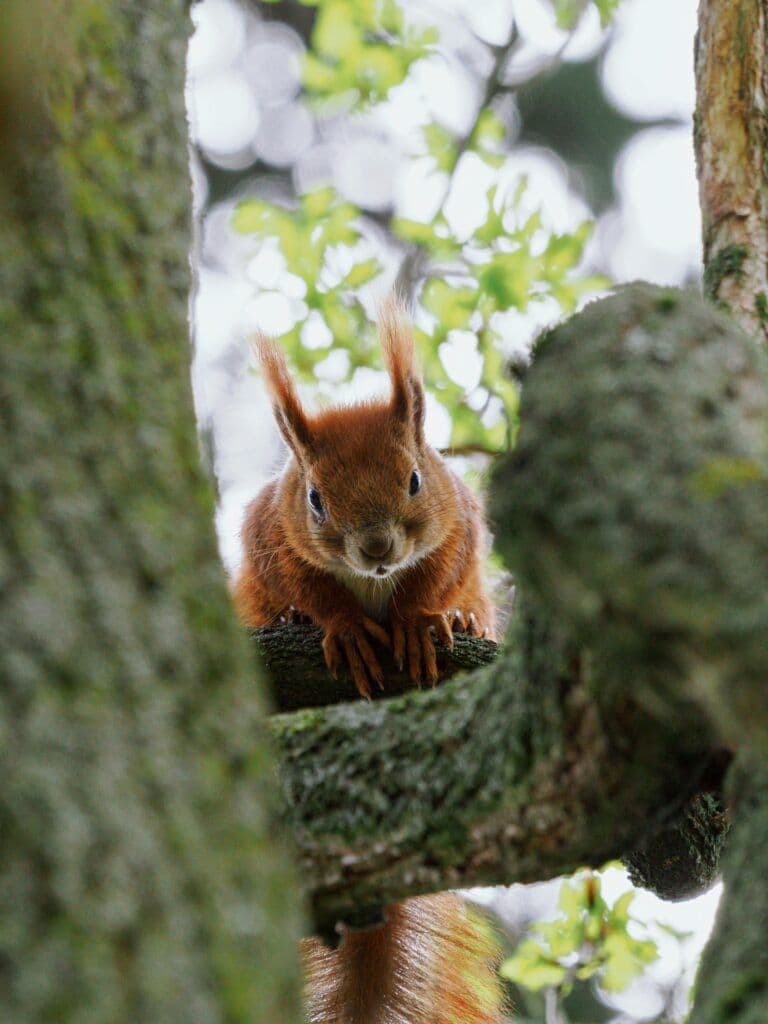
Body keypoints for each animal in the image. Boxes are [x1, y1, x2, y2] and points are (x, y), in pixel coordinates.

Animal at [233, 305, 503, 1023]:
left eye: (415, 478)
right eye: (315, 498)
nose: (378, 548)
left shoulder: (459, 525)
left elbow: (437, 577)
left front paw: (419, 623)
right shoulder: (270, 535)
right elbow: (311, 590)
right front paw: (340, 627)